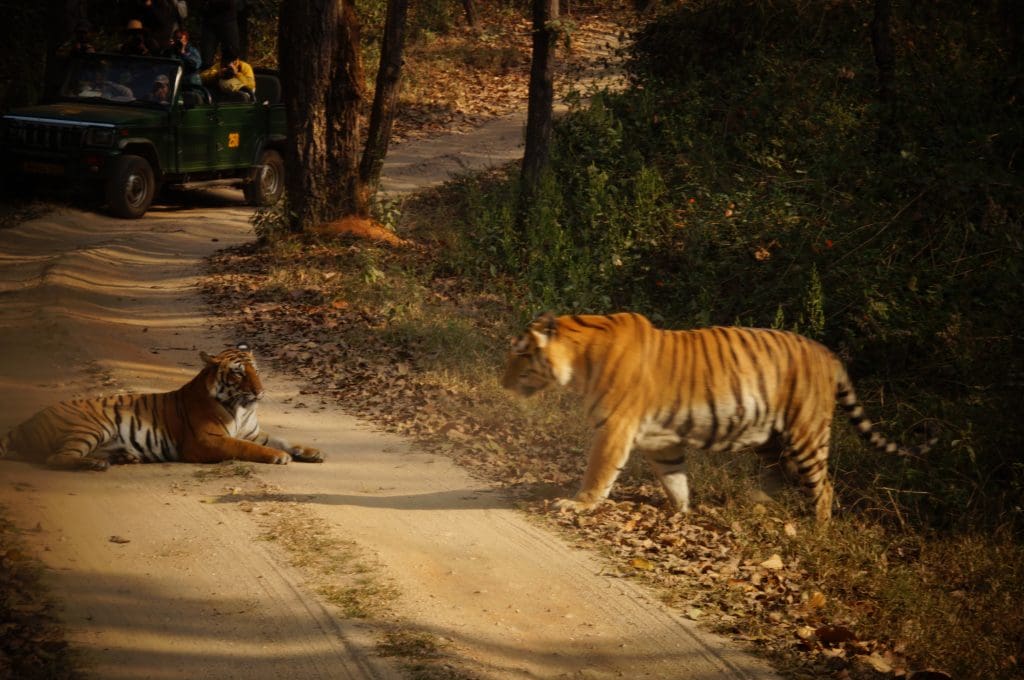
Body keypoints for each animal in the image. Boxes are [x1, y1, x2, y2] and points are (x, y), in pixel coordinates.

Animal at [0, 348, 323, 471]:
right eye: (238, 373)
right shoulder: (207, 440)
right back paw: (95, 464)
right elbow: (246, 447)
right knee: (55, 458)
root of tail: (26, 422)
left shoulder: (253, 432)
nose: (260, 391)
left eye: (256, 371)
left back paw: (123, 458)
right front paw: (278, 456)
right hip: (90, 427)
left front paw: (309, 451)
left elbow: (281, 439)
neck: (243, 409)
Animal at [499, 311, 933, 522]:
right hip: (772, 439)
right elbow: (675, 480)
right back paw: (754, 506)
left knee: (824, 488)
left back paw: (817, 531)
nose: (501, 382)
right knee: (776, 476)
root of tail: (829, 355)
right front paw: (683, 513)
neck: (579, 359)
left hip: (806, 434)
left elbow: (598, 473)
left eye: (520, 353)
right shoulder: (661, 441)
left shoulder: (615, 429)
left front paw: (577, 505)